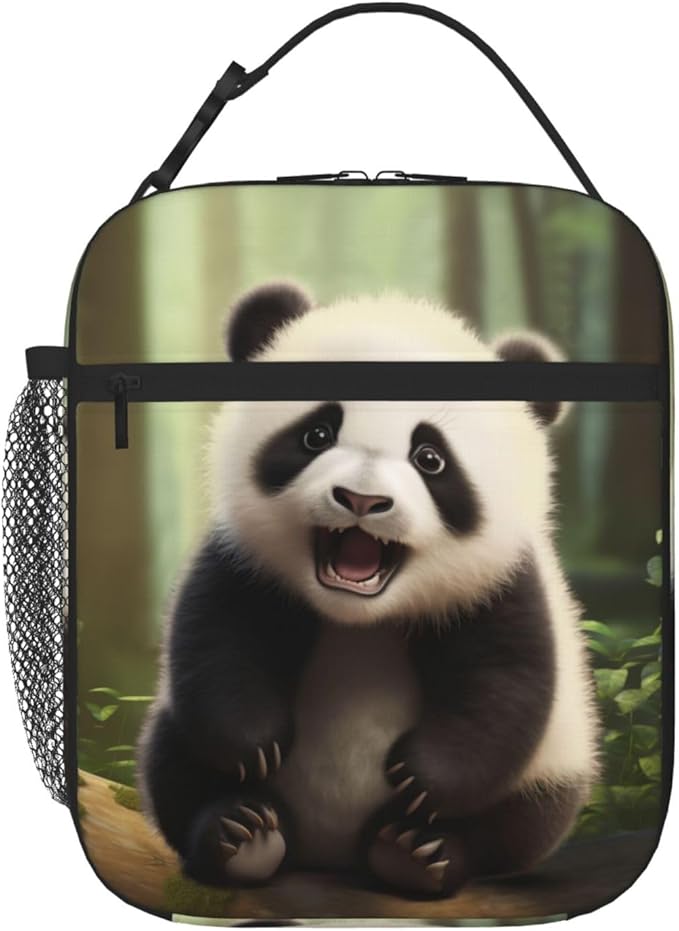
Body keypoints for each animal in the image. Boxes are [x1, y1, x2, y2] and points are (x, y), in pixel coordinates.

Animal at [139, 283, 600, 898]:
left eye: (430, 458)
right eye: (316, 434)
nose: (361, 500)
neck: (359, 617)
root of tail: (329, 852)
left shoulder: (500, 581)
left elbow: (505, 682)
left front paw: (421, 777)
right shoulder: (243, 560)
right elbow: (216, 639)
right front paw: (255, 742)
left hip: (553, 763)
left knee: (522, 820)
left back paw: (416, 852)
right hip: (178, 733)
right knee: (174, 765)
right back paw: (241, 834)